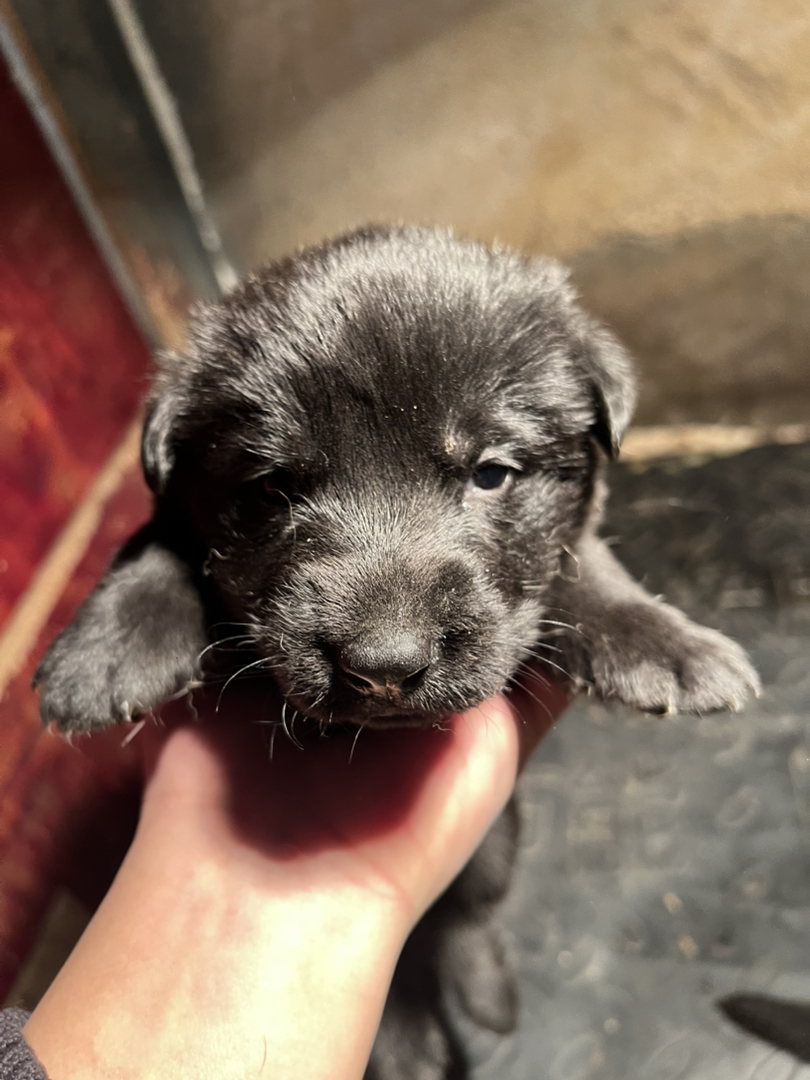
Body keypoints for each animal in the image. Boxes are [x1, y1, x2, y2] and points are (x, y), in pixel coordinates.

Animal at [35, 225, 760, 1079]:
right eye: (271, 490)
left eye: (491, 473)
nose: (382, 664)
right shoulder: (175, 508)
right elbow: (154, 540)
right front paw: (101, 650)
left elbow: (585, 562)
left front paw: (666, 644)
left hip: (497, 842)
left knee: (461, 922)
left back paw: (488, 999)